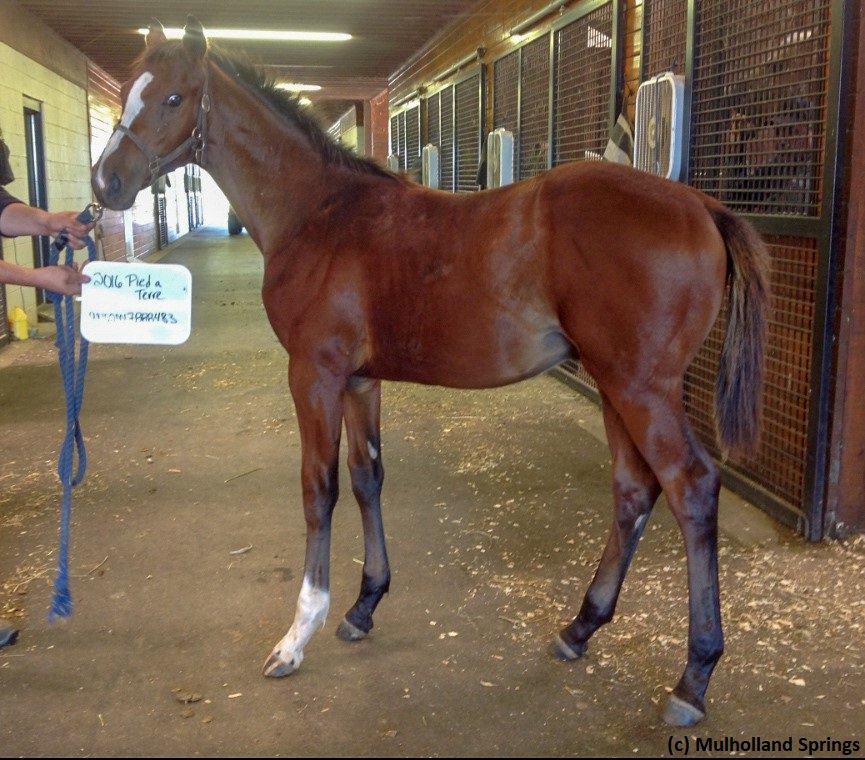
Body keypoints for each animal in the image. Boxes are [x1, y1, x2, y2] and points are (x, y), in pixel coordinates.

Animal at [93, 17, 768, 728]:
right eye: (130, 89)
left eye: (172, 98)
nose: (105, 183)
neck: (319, 211)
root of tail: (701, 206)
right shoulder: (360, 380)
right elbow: (366, 478)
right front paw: (363, 606)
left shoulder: (314, 374)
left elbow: (318, 490)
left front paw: (297, 635)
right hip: (617, 387)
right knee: (634, 492)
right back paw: (579, 629)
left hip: (642, 391)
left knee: (691, 487)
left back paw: (693, 678)